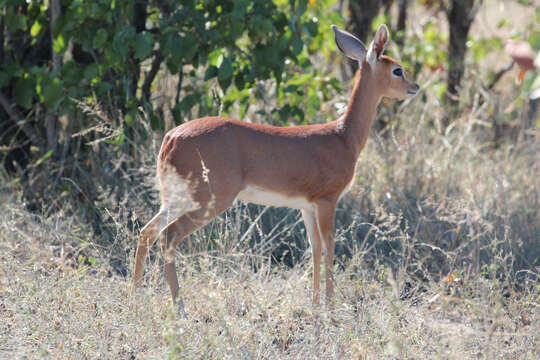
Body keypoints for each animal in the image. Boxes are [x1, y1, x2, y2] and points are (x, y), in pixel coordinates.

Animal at [133, 23, 420, 310]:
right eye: (397, 69)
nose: (415, 87)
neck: (343, 135)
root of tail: (171, 139)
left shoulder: (307, 206)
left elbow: (315, 247)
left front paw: (315, 304)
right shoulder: (327, 201)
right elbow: (330, 245)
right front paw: (330, 306)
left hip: (176, 200)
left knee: (147, 232)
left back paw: (135, 296)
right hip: (210, 201)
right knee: (168, 236)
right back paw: (179, 307)